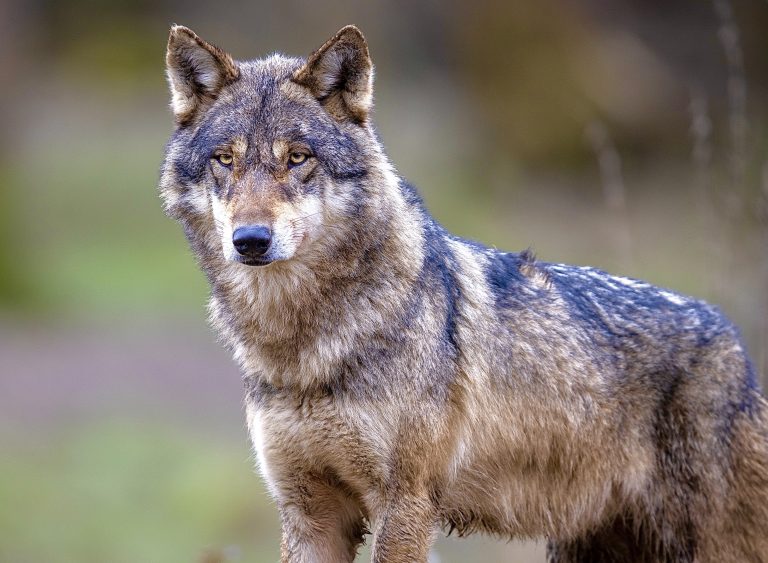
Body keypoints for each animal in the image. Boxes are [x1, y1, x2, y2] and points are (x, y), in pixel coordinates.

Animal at [159, 24, 768, 562]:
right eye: (225, 160)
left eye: (297, 158)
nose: (250, 240)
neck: (303, 346)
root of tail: (734, 340)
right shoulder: (309, 513)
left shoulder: (405, 505)